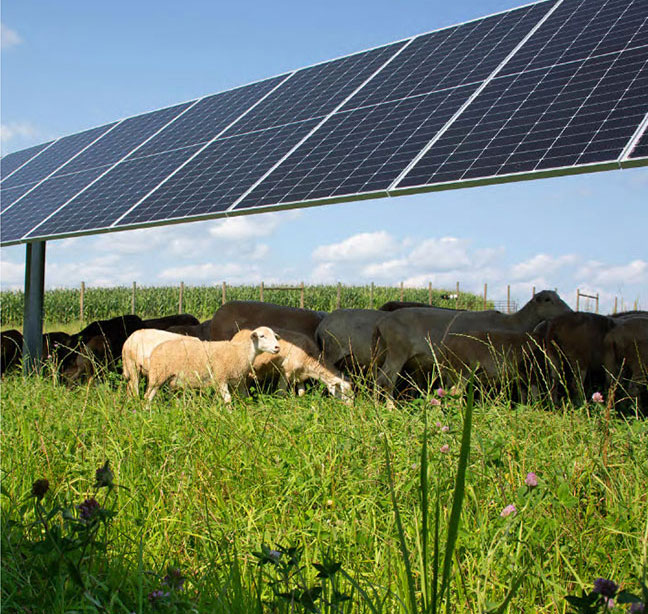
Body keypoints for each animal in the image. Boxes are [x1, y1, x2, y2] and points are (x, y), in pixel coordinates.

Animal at [146, 328, 280, 404]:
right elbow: (227, 400)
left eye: (274, 336)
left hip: (172, 380)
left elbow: (245, 397)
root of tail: (156, 349)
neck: (241, 351)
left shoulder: (239, 381)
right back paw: (148, 413)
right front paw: (230, 415)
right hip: (157, 376)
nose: (277, 347)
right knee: (148, 396)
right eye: (262, 336)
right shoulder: (220, 378)